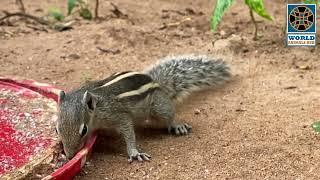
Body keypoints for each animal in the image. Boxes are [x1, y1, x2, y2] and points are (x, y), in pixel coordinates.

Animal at [55, 54, 230, 162]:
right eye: (57, 129)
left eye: (83, 130)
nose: (69, 156)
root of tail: (156, 82)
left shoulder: (118, 115)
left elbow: (129, 132)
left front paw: (134, 152)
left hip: (158, 106)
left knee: (168, 115)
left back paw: (177, 125)